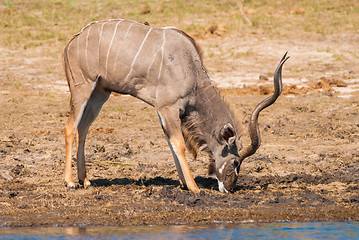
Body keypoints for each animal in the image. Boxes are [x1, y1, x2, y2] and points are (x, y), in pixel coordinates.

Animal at [64, 19, 290, 194]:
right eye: (235, 162)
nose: (229, 187)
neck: (189, 67)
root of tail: (73, 41)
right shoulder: (168, 108)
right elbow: (179, 144)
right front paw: (193, 187)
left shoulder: (164, 111)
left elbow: (171, 143)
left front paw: (183, 183)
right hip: (82, 89)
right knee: (70, 127)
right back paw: (70, 182)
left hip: (100, 93)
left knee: (83, 128)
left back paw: (85, 180)